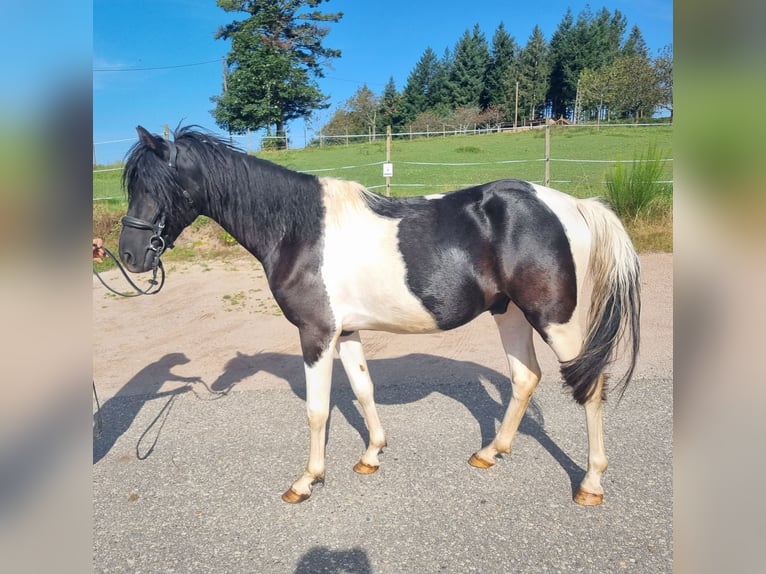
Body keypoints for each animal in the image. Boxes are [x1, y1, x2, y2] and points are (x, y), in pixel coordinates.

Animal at [120, 126, 644, 508]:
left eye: (156, 186)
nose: (128, 255)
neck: (298, 229)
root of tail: (573, 205)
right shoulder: (346, 330)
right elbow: (363, 388)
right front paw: (371, 455)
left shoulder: (316, 334)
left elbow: (317, 409)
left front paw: (307, 481)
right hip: (510, 312)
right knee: (525, 377)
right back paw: (490, 452)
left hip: (555, 319)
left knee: (590, 384)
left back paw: (591, 484)